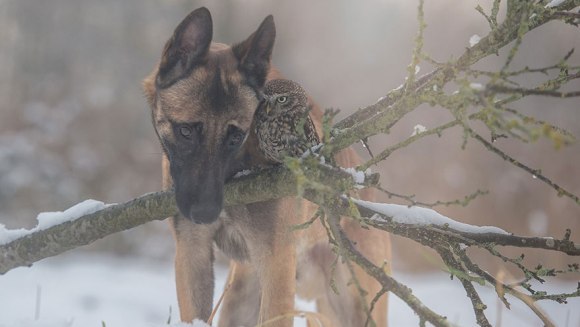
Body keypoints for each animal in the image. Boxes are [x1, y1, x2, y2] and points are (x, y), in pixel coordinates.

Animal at [143, 7, 392, 327]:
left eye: (235, 136)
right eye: (185, 131)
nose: (205, 214)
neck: (238, 166)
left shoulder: (276, 264)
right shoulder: (192, 254)